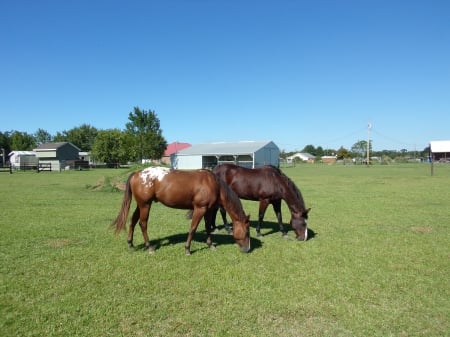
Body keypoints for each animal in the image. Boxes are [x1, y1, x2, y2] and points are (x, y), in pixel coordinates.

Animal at [109, 167, 250, 253]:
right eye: (247, 232)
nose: (247, 249)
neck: (213, 184)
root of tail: (136, 173)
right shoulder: (200, 209)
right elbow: (193, 228)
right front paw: (187, 249)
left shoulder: (208, 210)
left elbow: (208, 227)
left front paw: (210, 245)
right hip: (145, 204)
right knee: (142, 224)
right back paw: (150, 247)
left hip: (141, 204)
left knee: (132, 221)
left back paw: (131, 244)